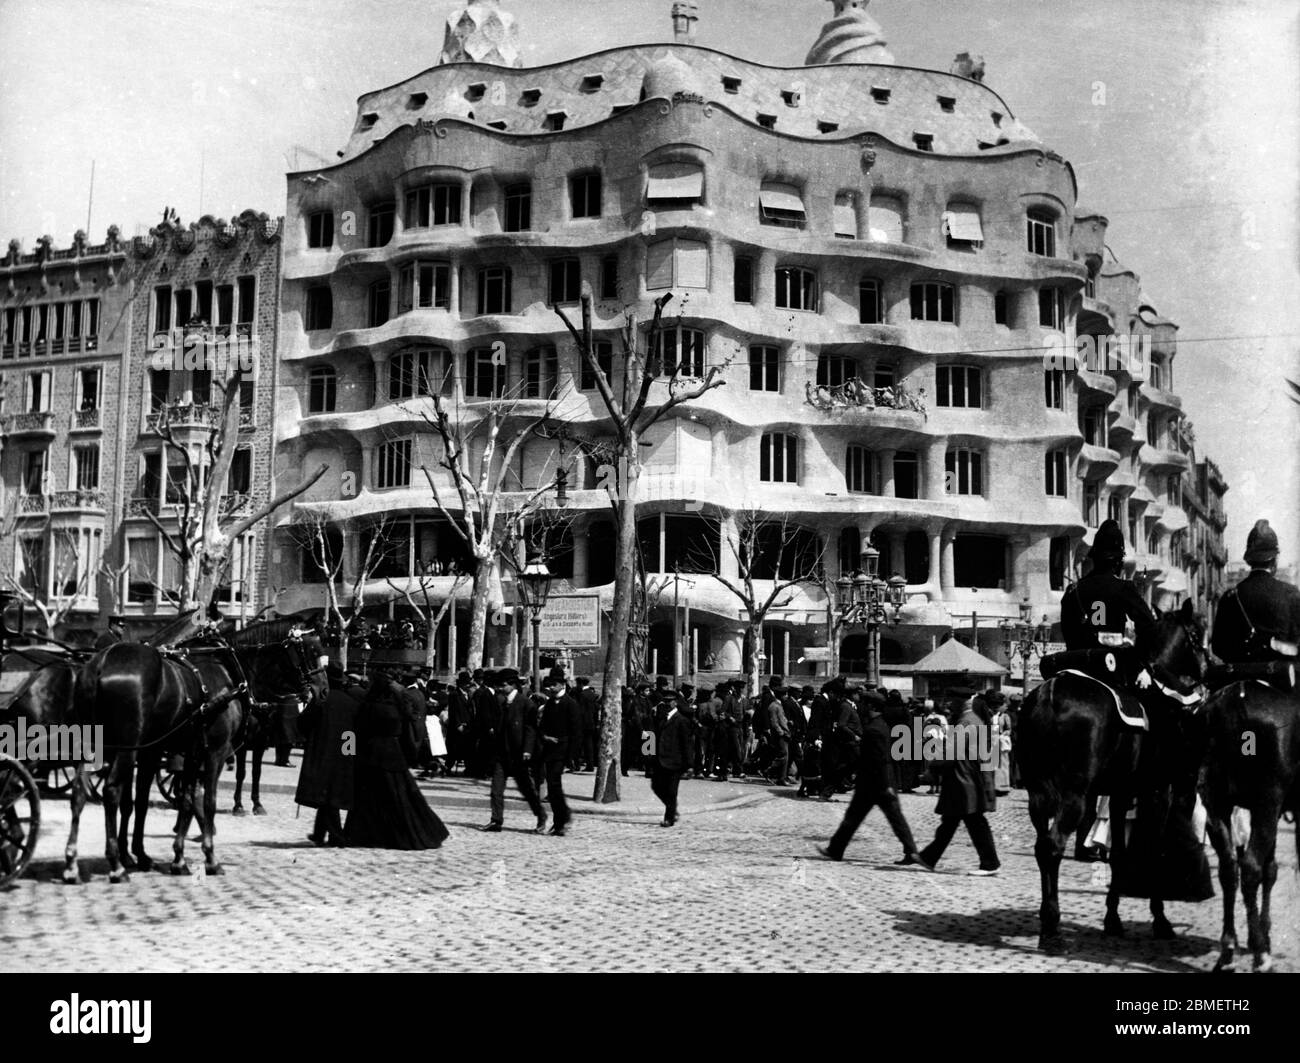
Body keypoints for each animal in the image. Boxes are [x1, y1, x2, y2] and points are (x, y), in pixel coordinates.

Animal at [1013, 597, 1206, 951]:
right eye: (1197, 633)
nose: (1210, 666)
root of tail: (1049, 694)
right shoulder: (1157, 791)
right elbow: (1153, 850)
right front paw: (1160, 920)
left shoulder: (1119, 793)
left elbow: (1118, 853)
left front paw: (1113, 919)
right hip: (1073, 794)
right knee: (1053, 845)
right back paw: (1052, 929)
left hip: (1039, 792)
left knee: (1043, 847)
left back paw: (1048, 921)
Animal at [1196, 675, 1300, 966]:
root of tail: (1237, 698)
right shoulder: (1271, 808)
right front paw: (1263, 940)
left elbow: (1271, 868)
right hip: (1266, 804)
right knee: (1250, 867)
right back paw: (1260, 952)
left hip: (1217, 804)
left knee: (1229, 868)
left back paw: (1229, 945)